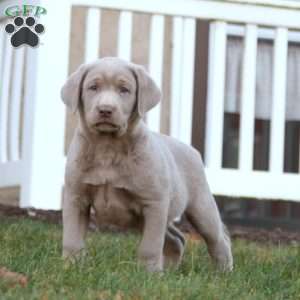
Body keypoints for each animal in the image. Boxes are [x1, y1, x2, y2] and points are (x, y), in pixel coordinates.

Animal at [61, 56, 233, 272]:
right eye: (93, 87)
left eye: (124, 90)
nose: (106, 110)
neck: (108, 148)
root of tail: (192, 150)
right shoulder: (76, 198)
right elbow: (72, 238)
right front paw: (71, 267)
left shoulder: (154, 203)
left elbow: (150, 245)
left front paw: (148, 273)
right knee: (176, 239)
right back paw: (170, 270)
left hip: (200, 206)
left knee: (217, 238)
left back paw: (223, 271)